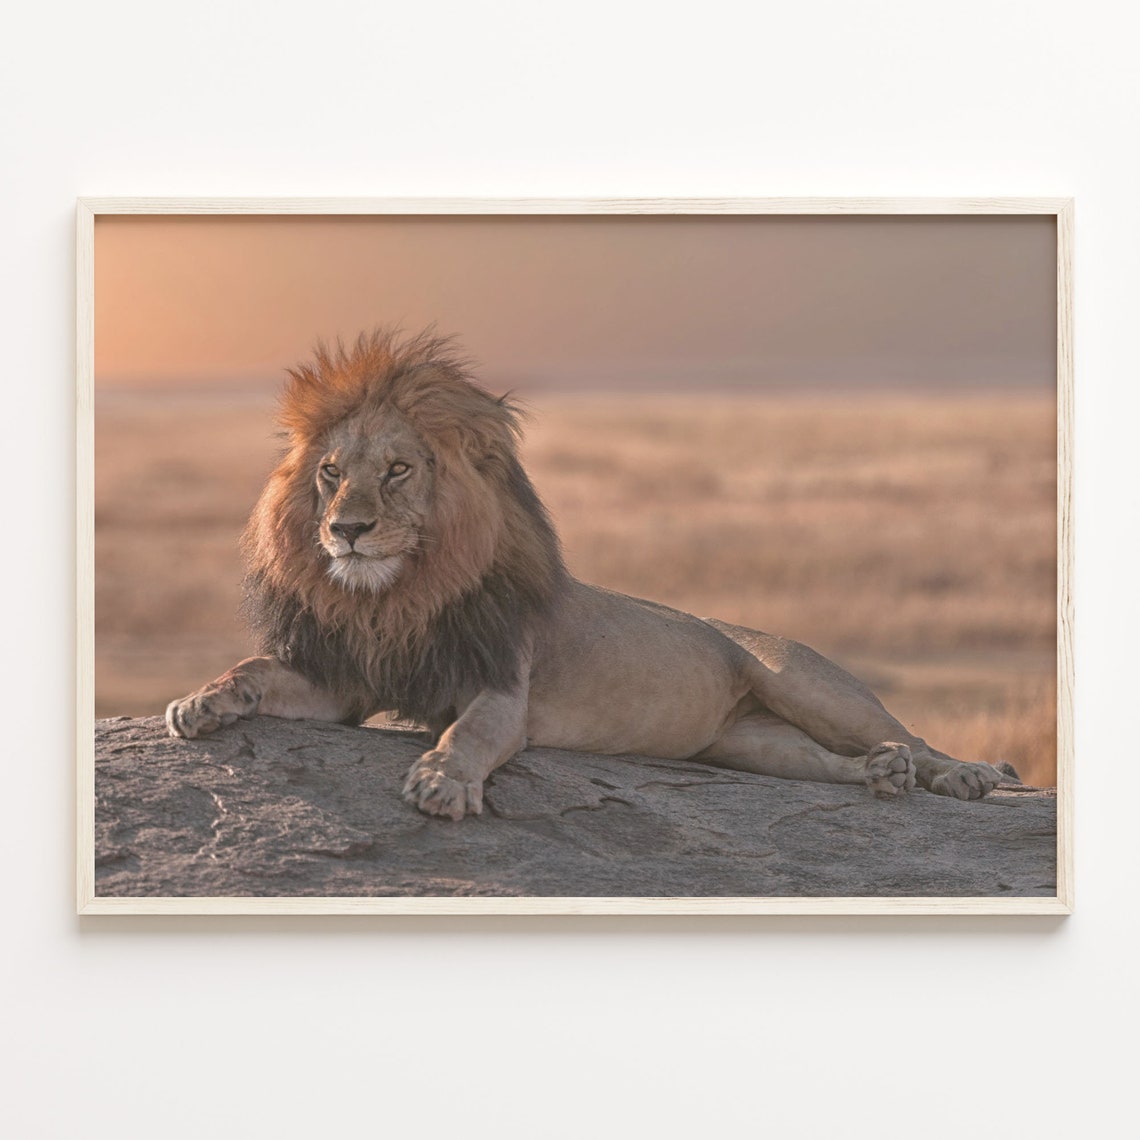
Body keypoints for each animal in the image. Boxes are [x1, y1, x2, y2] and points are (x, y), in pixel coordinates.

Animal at [166, 328, 1014, 820]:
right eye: (332, 474)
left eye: (399, 470)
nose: (346, 530)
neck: (399, 596)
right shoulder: (347, 682)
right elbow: (255, 670)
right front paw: (199, 702)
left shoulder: (501, 689)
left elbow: (470, 733)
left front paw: (441, 781)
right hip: (745, 743)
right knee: (825, 764)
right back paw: (879, 776)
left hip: (805, 682)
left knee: (913, 734)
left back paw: (961, 776)